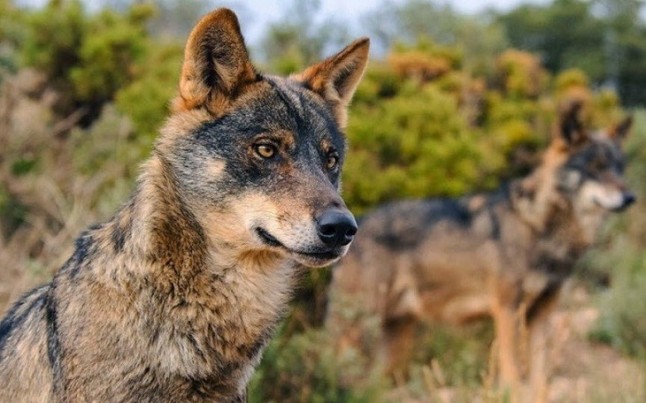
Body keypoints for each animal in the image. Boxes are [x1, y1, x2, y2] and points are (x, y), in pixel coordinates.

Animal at [326, 102, 634, 401]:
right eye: (596, 167)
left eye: (619, 168)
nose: (631, 197)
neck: (539, 226)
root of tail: (356, 225)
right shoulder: (507, 310)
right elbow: (512, 374)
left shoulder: (543, 314)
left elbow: (541, 381)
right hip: (357, 329)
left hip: (395, 339)